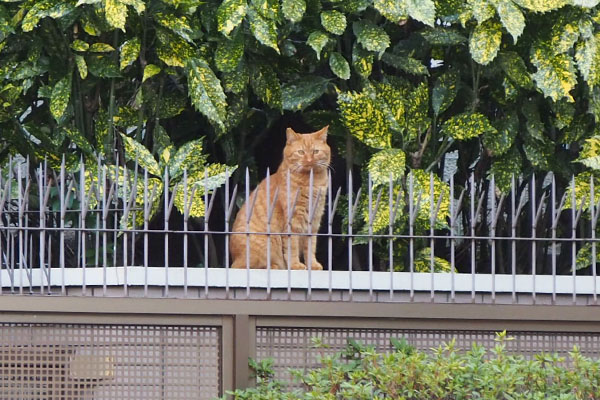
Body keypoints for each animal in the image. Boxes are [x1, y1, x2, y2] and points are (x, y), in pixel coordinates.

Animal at [231, 126, 332, 270]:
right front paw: (296, 265)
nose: (309, 161)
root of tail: (234, 259)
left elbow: (310, 247)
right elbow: (292, 247)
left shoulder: (314, 221)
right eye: (301, 152)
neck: (311, 182)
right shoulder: (293, 222)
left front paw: (312, 265)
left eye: (315, 151)